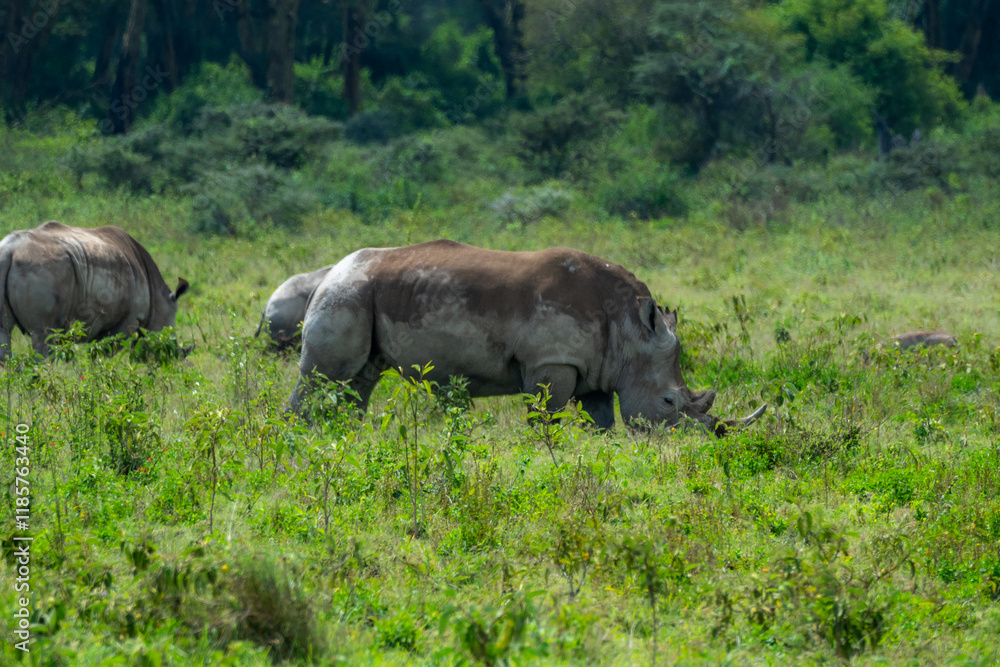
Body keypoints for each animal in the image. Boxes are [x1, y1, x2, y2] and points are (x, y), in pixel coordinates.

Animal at [0, 221, 189, 361]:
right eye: (170, 336)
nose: (175, 358)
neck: (158, 297)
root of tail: (9, 251)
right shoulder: (129, 319)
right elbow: (109, 354)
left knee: (4, 332)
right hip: (40, 268)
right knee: (43, 336)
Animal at [289, 240, 765, 434]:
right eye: (668, 402)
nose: (697, 441)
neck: (632, 328)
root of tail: (330, 271)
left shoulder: (598, 366)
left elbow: (602, 421)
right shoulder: (552, 361)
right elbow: (546, 417)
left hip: (362, 293)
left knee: (359, 381)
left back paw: (346, 435)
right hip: (346, 294)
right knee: (323, 376)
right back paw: (301, 437)